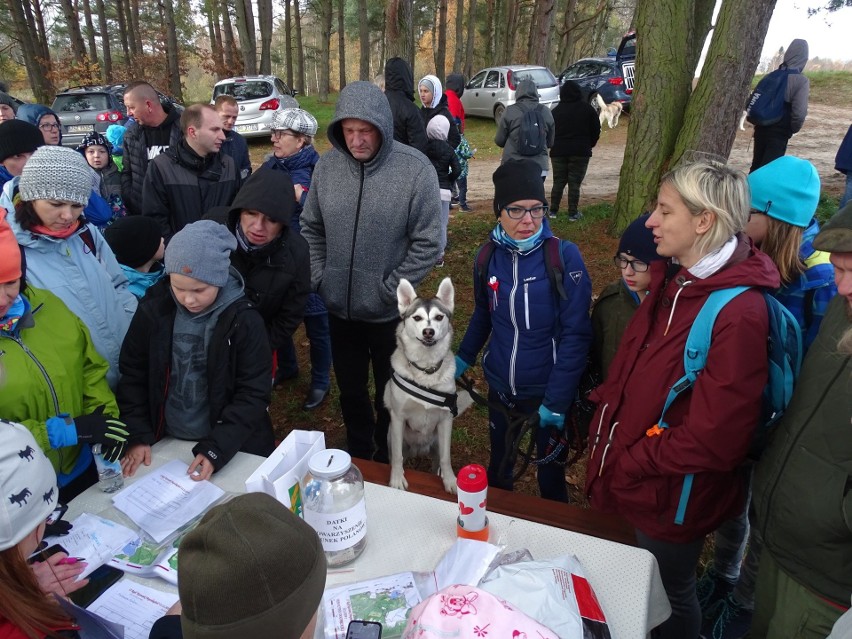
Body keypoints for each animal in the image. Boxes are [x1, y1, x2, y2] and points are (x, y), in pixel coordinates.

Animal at [386, 278, 472, 492]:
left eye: (439, 317)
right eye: (417, 318)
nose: (428, 331)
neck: (426, 370)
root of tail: (420, 449)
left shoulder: (446, 420)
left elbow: (446, 459)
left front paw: (450, 481)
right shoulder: (398, 418)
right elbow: (397, 458)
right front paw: (396, 479)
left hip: (436, 443)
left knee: (437, 462)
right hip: (393, 437)